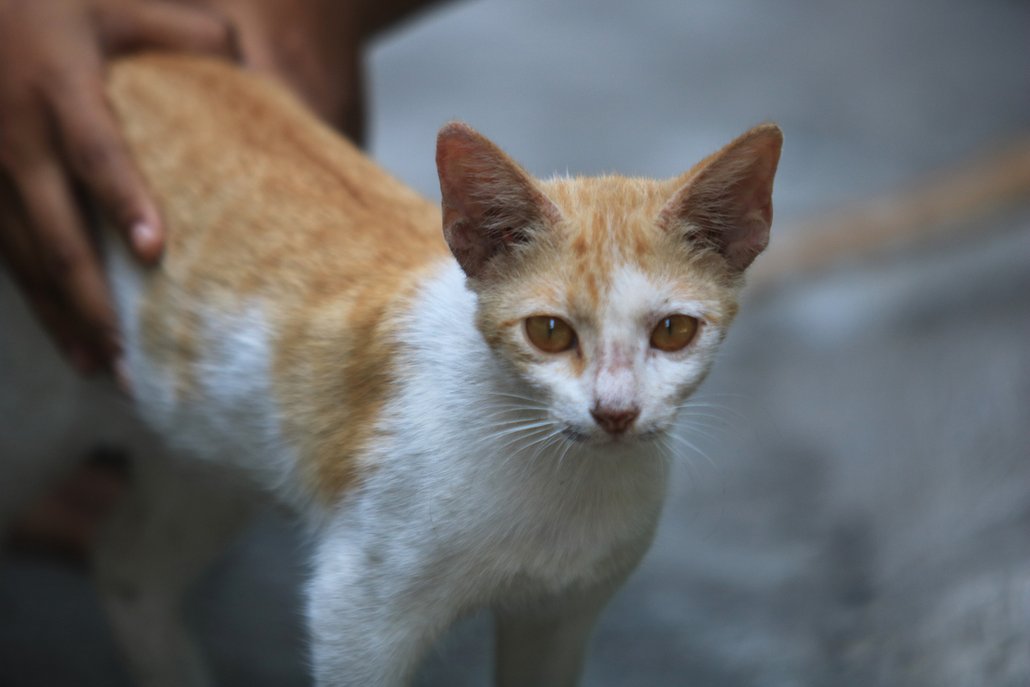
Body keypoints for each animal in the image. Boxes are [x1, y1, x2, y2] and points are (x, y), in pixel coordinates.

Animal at [0, 55, 778, 687]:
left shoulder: (560, 617)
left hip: (206, 444)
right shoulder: (355, 612)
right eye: (550, 332)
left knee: (127, 565)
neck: (563, 482)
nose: (615, 411)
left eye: (672, 331)